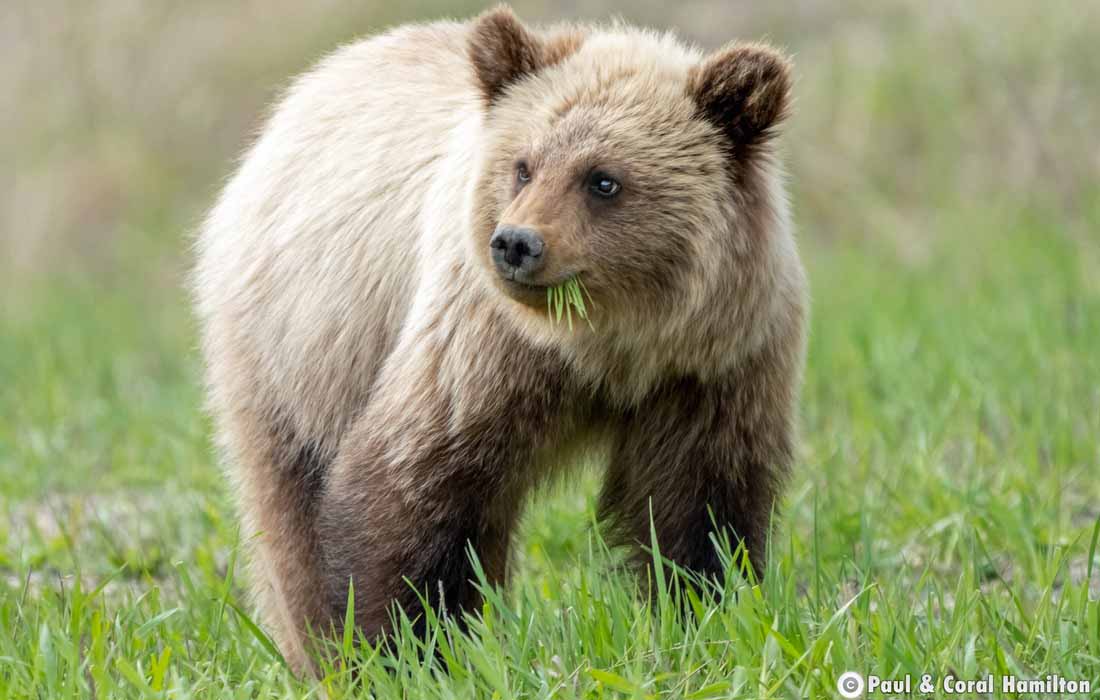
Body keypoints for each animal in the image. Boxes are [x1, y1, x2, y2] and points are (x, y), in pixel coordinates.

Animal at [189, 4, 809, 673]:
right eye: (523, 166)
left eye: (603, 179)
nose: (516, 243)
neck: (612, 346)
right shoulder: (484, 349)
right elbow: (411, 484)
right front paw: (403, 650)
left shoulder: (716, 364)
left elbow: (699, 507)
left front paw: (704, 615)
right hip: (298, 347)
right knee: (288, 512)